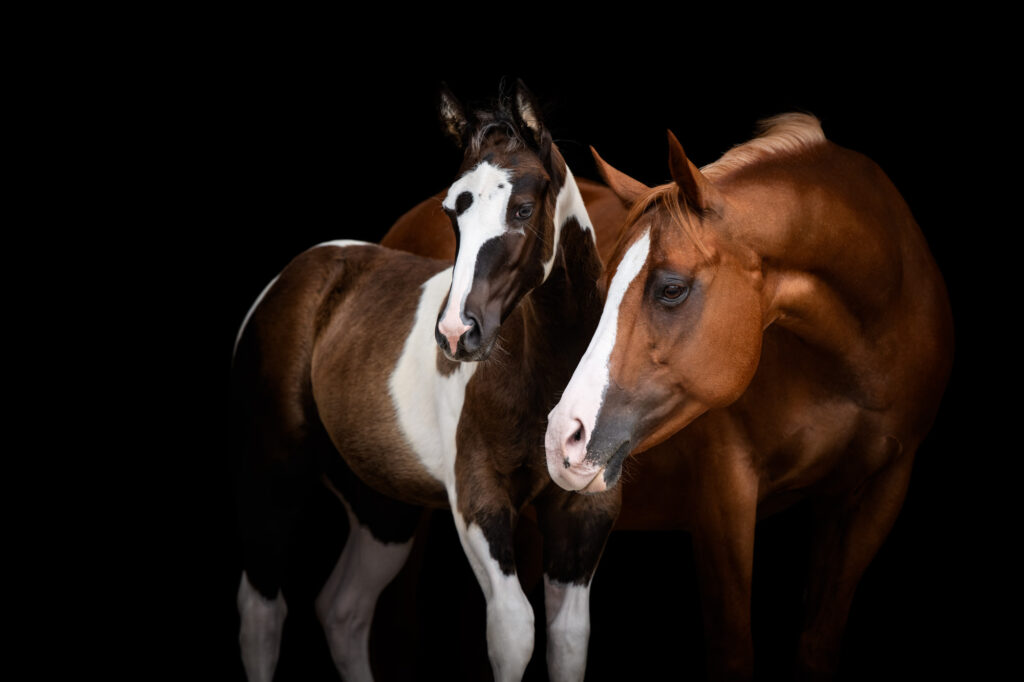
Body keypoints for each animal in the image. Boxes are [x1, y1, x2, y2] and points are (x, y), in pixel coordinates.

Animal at [232, 81, 621, 682]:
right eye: (452, 211)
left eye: (523, 208)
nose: (458, 333)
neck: (543, 371)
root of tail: (293, 275)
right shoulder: (478, 499)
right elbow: (514, 633)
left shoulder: (584, 512)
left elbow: (568, 640)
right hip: (275, 470)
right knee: (261, 612)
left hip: (380, 507)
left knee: (342, 609)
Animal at [544, 114, 954, 679]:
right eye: (603, 289)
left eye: (672, 288)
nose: (563, 437)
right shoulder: (725, 491)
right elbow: (734, 650)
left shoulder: (877, 489)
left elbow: (817, 643)